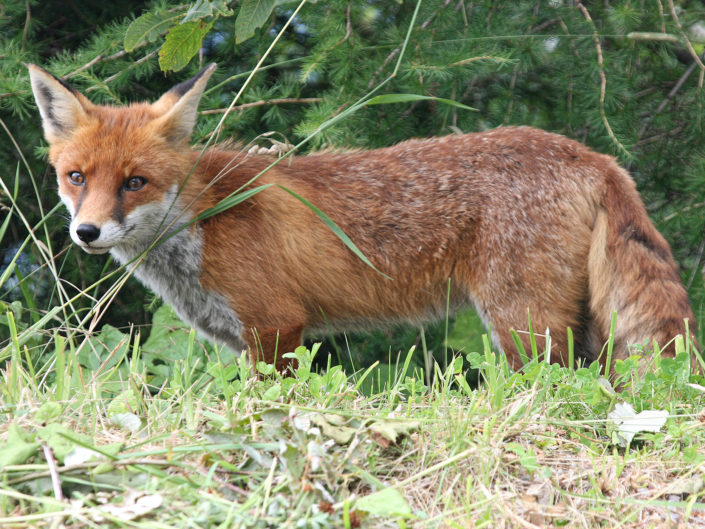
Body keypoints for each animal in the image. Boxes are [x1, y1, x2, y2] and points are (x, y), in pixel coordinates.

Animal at [28, 62, 695, 372]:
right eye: (76, 177)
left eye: (134, 183)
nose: (86, 233)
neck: (204, 220)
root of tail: (595, 155)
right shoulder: (245, 340)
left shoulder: (276, 327)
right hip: (578, 323)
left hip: (523, 323)